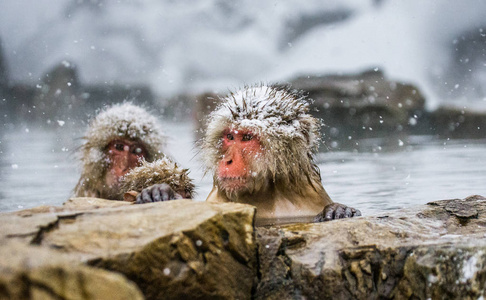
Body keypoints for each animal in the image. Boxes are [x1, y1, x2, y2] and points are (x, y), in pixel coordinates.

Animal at [200, 84, 360, 223]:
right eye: (230, 137)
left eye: (247, 137)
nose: (227, 160)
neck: (266, 194)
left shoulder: (312, 195)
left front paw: (338, 211)